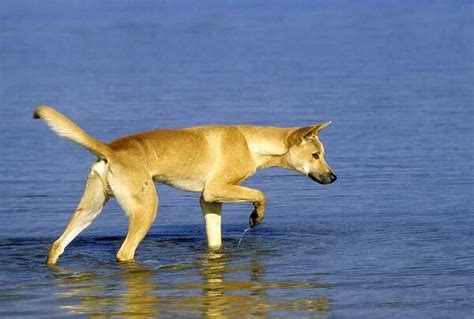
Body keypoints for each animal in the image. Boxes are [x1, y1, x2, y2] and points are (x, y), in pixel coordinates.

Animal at [34, 105, 336, 264]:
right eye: (315, 155)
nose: (333, 178)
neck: (251, 144)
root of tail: (111, 149)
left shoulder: (209, 201)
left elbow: (214, 240)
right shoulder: (216, 189)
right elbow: (261, 194)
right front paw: (256, 217)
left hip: (90, 209)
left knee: (57, 245)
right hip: (146, 209)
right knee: (124, 252)